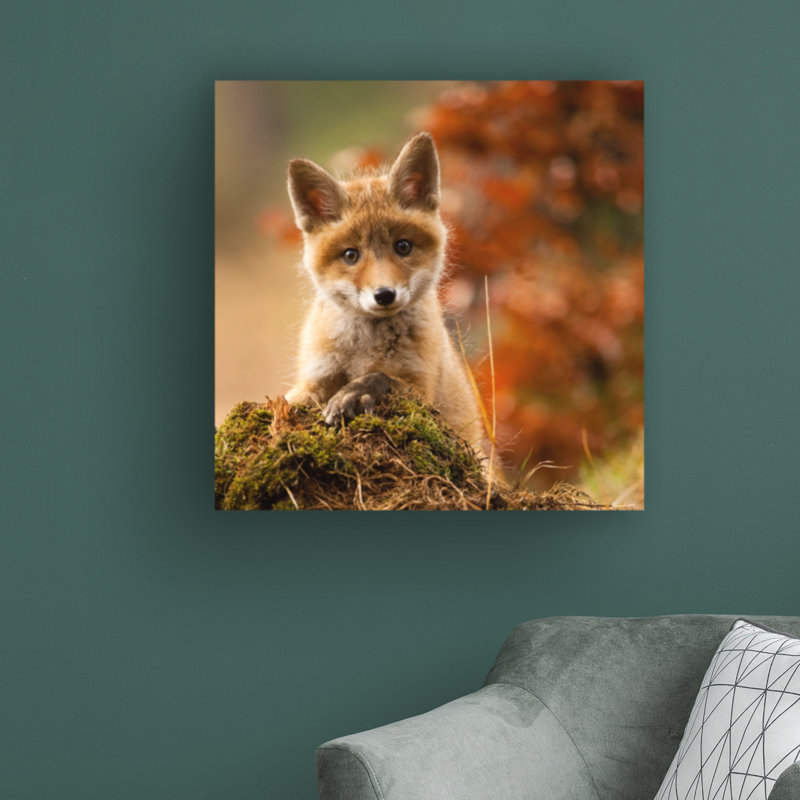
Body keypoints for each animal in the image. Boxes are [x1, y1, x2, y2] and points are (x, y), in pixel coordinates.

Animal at [284, 132, 486, 460]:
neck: (363, 349)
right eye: (351, 255)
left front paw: (354, 394)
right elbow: (290, 400)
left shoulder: (422, 391)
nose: (384, 295)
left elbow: (382, 377)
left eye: (403, 246)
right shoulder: (314, 378)